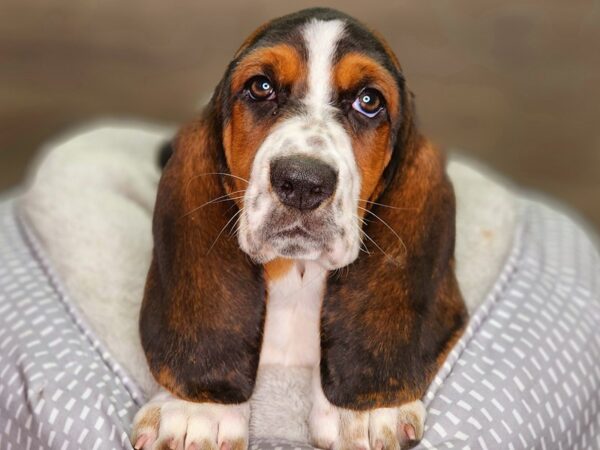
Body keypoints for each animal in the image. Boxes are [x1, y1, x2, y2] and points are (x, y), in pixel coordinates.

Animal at [132, 7, 468, 450]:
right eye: (261, 87)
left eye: (369, 101)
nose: (304, 183)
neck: (298, 273)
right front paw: (195, 410)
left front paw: (362, 413)